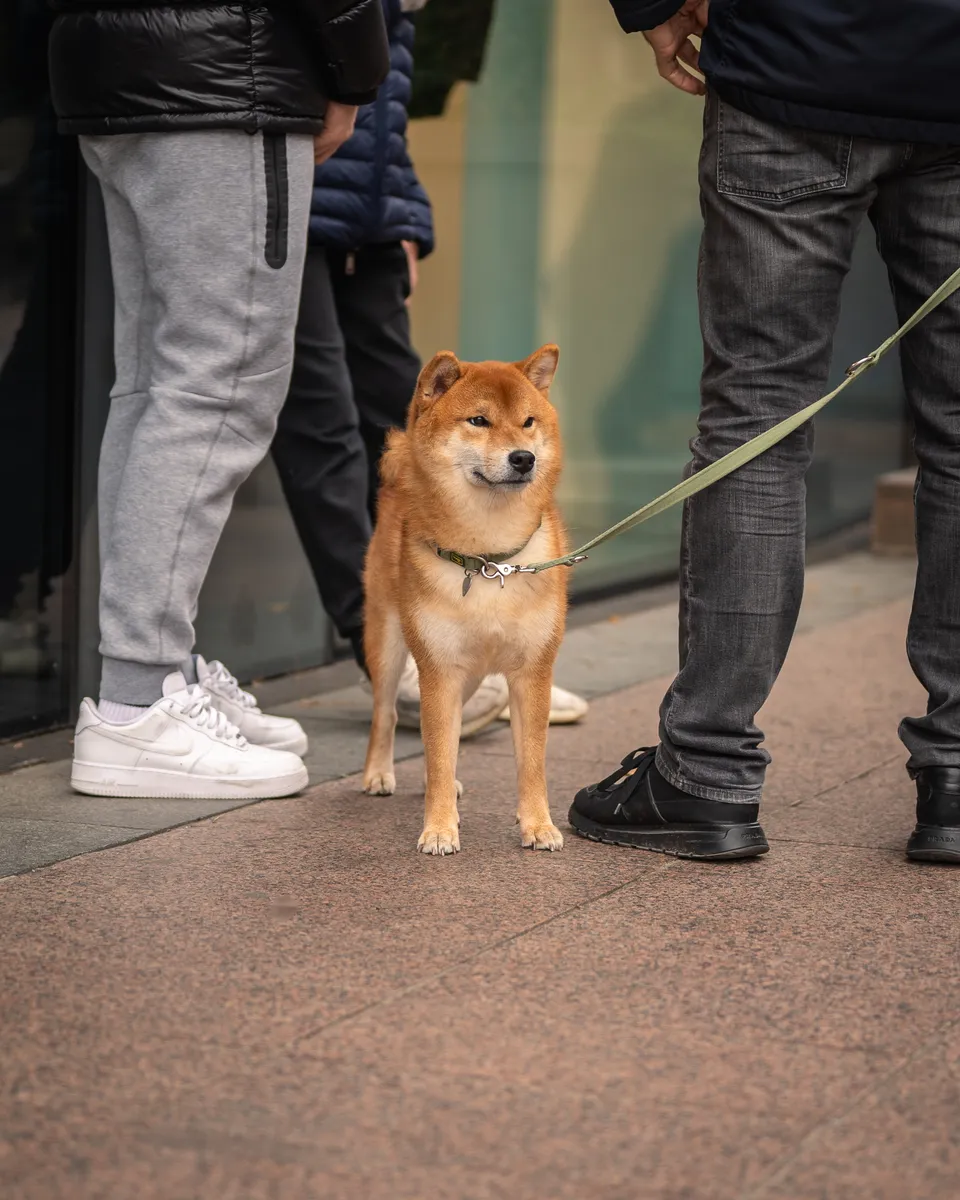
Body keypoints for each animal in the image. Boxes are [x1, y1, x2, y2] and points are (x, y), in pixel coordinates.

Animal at [364, 345, 566, 854]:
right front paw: (438, 828)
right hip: (390, 644)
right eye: (479, 420)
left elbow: (530, 760)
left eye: (528, 421)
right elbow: (437, 754)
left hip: (470, 675)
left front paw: (538, 824)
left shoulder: (532, 672)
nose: (523, 458)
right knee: (386, 713)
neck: (489, 559)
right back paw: (378, 773)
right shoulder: (438, 670)